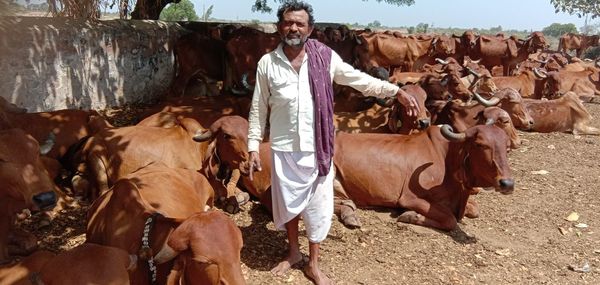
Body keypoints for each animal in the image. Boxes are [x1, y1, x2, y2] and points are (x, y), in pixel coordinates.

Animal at [330, 123, 512, 230]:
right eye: (480, 144)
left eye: (507, 146)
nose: (507, 183)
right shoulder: (409, 198)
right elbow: (450, 220)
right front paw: (410, 215)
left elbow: (474, 210)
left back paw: (349, 213)